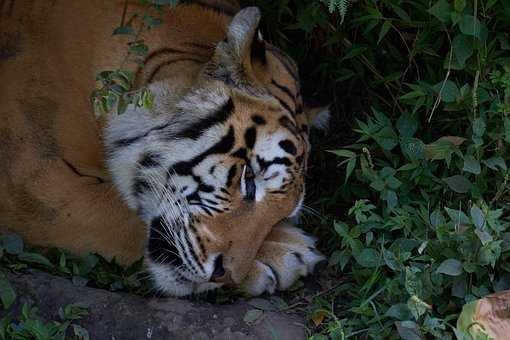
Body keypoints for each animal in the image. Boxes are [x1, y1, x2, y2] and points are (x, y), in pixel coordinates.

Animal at [0, 0, 326, 296]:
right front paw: (284, 253)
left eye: (281, 215)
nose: (227, 276)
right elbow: (120, 214)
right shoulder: (37, 183)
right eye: (249, 181)